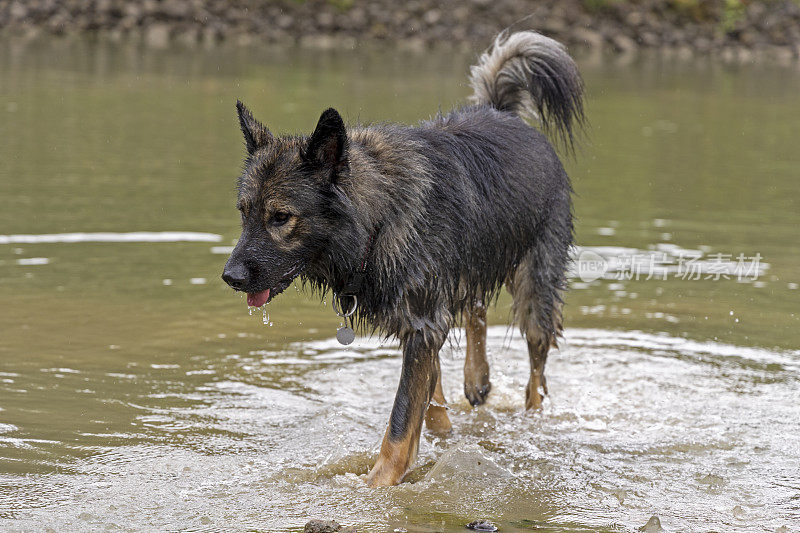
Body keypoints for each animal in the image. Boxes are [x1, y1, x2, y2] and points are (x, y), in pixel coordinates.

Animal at [222, 29, 584, 486]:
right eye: (244, 211)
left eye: (281, 217)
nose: (230, 277)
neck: (377, 220)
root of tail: (501, 112)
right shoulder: (424, 323)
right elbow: (427, 401)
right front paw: (439, 437)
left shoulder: (423, 323)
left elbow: (400, 420)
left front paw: (378, 485)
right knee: (474, 306)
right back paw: (476, 378)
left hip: (536, 288)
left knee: (537, 371)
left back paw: (532, 418)